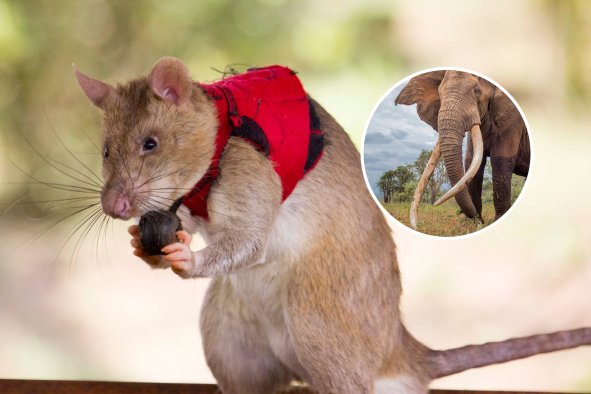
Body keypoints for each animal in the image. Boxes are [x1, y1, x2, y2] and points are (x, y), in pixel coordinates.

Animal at [396, 69, 528, 229]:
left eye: (477, 91)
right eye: (439, 93)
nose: (418, 227)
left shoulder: (511, 120)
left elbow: (500, 161)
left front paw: (495, 220)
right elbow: (472, 161)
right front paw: (471, 225)